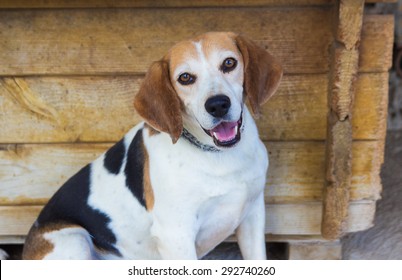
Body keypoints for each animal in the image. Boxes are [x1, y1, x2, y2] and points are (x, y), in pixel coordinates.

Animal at [22, 32, 282, 260]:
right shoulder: (176, 235)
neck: (219, 156)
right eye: (185, 78)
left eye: (229, 63)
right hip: (74, 240)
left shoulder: (253, 216)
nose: (217, 105)